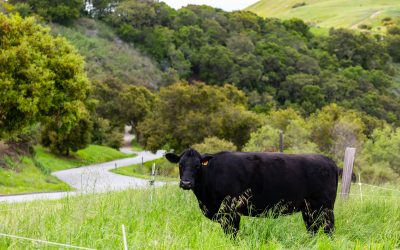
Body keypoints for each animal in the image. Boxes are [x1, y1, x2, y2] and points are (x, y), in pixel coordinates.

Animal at [166, 149, 338, 237]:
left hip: (325, 208)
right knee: (313, 229)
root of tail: (328, 160)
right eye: (180, 165)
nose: (186, 183)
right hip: (309, 209)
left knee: (329, 229)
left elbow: (232, 234)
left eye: (197, 166)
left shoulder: (231, 212)